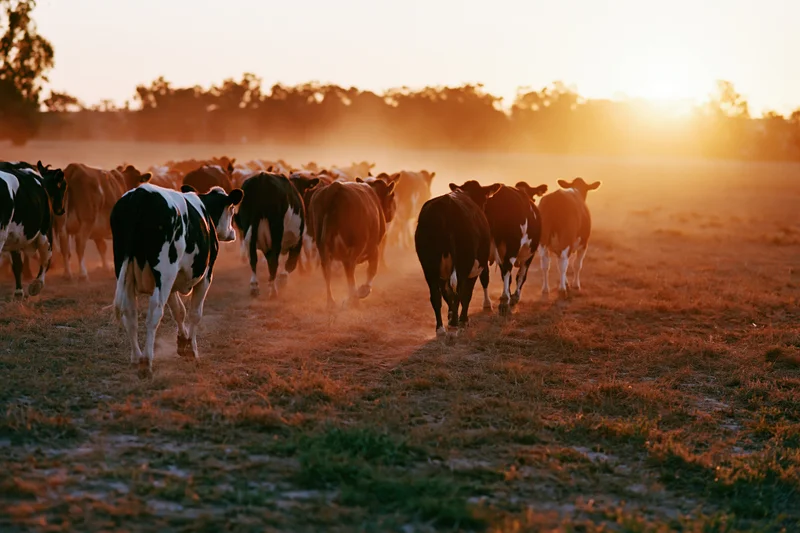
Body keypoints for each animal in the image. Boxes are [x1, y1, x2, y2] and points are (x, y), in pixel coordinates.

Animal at [0, 161, 67, 299]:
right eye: (63, 186)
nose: (61, 210)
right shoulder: (45, 230)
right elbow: (46, 258)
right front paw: (35, 286)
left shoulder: (15, 235)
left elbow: (17, 264)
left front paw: (19, 291)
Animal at [110, 183, 243, 375]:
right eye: (232, 209)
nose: (232, 233)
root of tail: (141, 193)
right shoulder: (205, 277)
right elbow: (195, 313)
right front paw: (193, 350)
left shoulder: (172, 281)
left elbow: (179, 311)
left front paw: (183, 342)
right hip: (164, 272)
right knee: (154, 312)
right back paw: (147, 361)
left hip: (125, 270)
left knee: (130, 314)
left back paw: (136, 358)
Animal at [308, 177, 396, 308]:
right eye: (391, 197)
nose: (391, 216)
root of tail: (335, 187)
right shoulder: (374, 248)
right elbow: (372, 270)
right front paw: (363, 291)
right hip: (355, 246)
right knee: (350, 269)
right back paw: (354, 300)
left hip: (323, 247)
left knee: (327, 271)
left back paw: (331, 302)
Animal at [414, 180, 501, 337]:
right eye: (485, 200)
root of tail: (445, 204)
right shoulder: (475, 267)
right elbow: (466, 293)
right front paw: (463, 320)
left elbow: (447, 294)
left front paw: (450, 317)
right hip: (464, 263)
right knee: (461, 290)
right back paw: (456, 324)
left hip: (429, 266)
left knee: (436, 295)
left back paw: (441, 328)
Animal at [479, 181, 548, 315]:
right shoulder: (529, 254)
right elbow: (521, 276)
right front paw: (514, 297)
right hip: (512, 246)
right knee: (507, 269)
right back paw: (504, 300)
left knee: (485, 275)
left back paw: (487, 303)